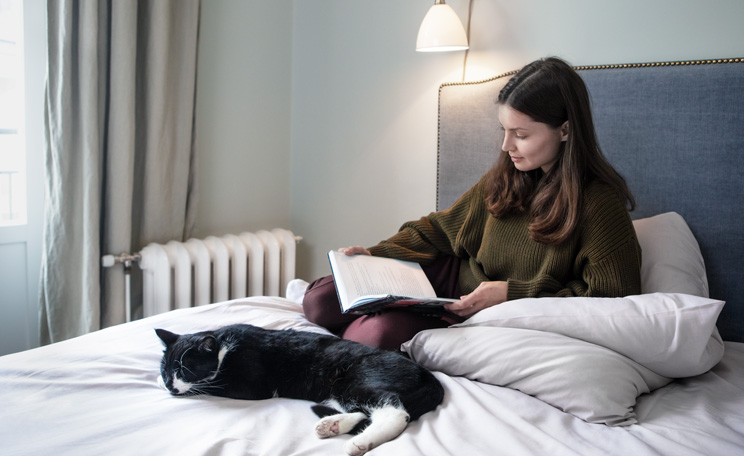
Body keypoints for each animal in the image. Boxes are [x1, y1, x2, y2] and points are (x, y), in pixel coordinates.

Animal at [155, 324, 444, 456]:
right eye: (166, 369)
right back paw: (331, 426)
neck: (222, 346)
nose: (170, 385)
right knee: (364, 411)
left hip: (360, 379)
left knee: (395, 411)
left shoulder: (252, 385)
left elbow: (213, 384)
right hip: (338, 390)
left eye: (184, 369)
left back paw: (359, 443)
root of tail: (429, 377)